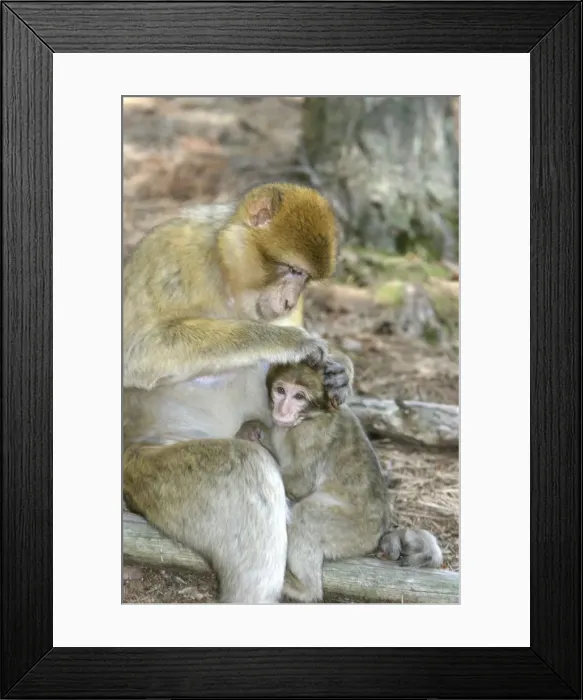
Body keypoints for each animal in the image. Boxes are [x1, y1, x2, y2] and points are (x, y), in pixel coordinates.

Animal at [123, 182, 355, 603]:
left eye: (305, 279)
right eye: (292, 270)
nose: (289, 300)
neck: (227, 274)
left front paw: (340, 369)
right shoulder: (171, 251)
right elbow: (138, 353)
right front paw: (284, 340)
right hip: (146, 471)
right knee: (246, 467)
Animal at [235, 362, 443, 603]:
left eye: (299, 396)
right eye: (280, 391)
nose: (282, 410)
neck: (309, 417)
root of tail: (379, 533)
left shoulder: (310, 434)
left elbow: (301, 484)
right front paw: (252, 429)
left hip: (352, 532)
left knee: (306, 514)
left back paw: (304, 589)